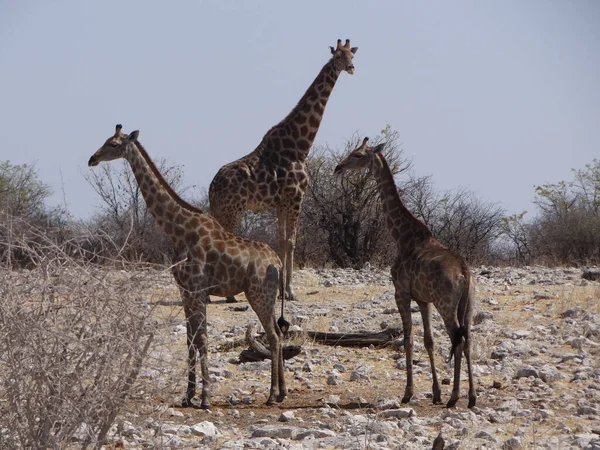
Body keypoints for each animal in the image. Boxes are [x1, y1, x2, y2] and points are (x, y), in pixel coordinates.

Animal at [86, 124, 288, 408]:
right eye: (105, 140)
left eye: (113, 144)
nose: (92, 159)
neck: (177, 230)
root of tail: (278, 263)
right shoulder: (184, 290)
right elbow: (190, 339)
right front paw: (188, 395)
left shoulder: (197, 288)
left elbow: (202, 338)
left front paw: (204, 398)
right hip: (266, 296)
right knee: (278, 335)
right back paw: (282, 392)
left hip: (259, 294)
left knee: (273, 336)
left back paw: (271, 395)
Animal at [209, 38, 358, 302]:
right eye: (338, 56)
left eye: (353, 54)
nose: (351, 68)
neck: (300, 146)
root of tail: (212, 186)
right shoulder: (296, 197)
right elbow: (291, 241)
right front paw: (289, 291)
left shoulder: (281, 202)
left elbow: (281, 240)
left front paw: (281, 290)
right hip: (233, 209)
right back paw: (228, 295)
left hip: (220, 209)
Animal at [336, 137, 476, 408]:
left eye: (358, 154)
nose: (339, 167)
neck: (402, 237)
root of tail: (464, 272)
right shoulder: (423, 299)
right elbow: (428, 341)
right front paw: (435, 392)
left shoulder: (400, 292)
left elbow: (409, 340)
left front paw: (408, 393)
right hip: (468, 304)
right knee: (468, 340)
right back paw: (472, 397)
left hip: (446, 304)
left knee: (458, 339)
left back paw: (455, 397)